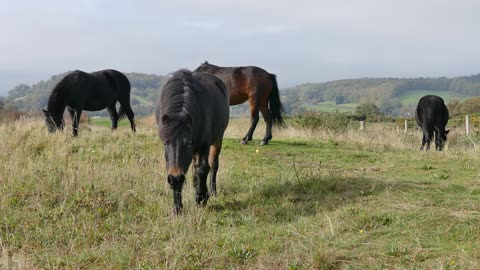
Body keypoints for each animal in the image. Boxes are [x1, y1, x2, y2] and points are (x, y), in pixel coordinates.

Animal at [155, 69, 228, 213]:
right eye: (165, 143)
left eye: (187, 143)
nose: (176, 178)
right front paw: (177, 208)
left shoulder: (203, 145)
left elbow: (203, 168)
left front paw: (201, 197)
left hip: (217, 139)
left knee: (213, 165)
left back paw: (212, 191)